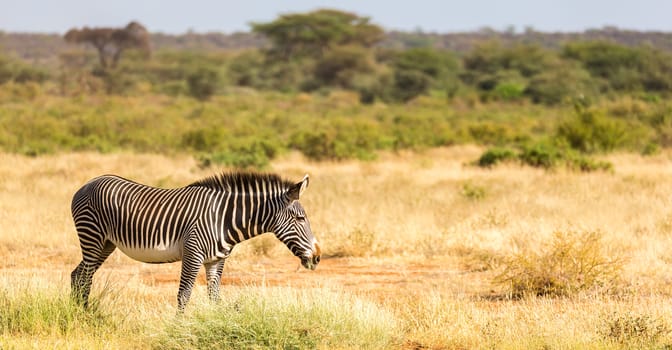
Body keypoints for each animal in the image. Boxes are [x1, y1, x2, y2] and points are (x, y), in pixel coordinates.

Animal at [69, 171, 322, 310]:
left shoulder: (216, 260)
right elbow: (184, 295)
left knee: (77, 275)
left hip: (105, 244)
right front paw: (176, 330)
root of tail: (88, 183)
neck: (224, 219)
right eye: (300, 218)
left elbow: (214, 296)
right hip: (92, 236)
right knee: (84, 277)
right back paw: (83, 316)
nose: (318, 257)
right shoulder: (193, 253)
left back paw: (80, 314)